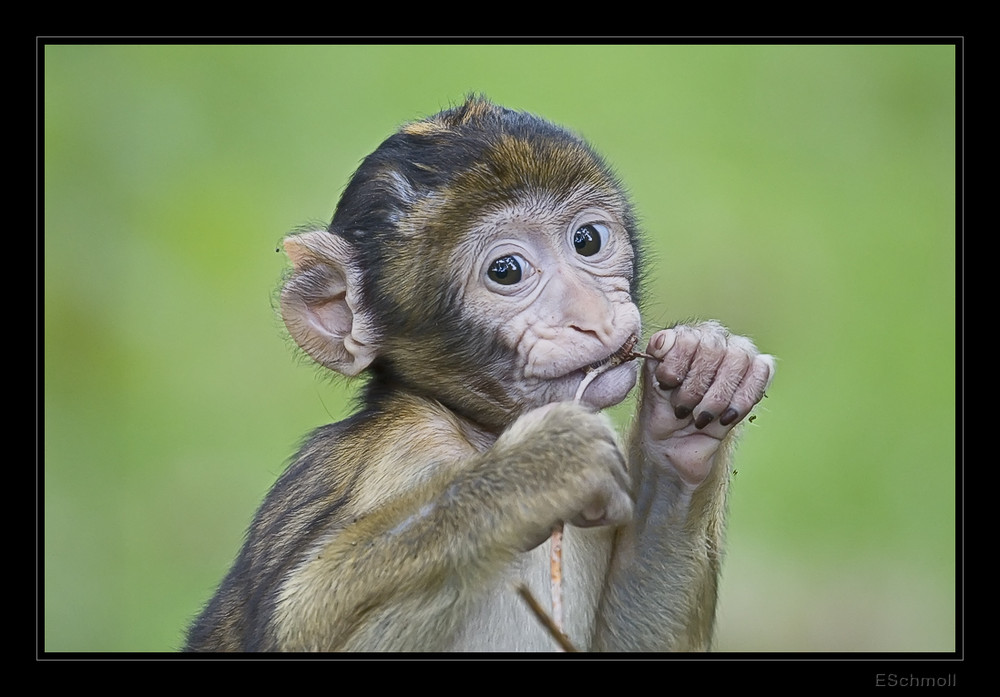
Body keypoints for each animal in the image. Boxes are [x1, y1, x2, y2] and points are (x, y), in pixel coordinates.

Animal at [186, 95, 772, 648]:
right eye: (506, 271)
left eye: (588, 240)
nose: (591, 316)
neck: (476, 431)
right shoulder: (407, 449)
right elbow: (295, 625)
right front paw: (540, 470)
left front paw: (696, 386)